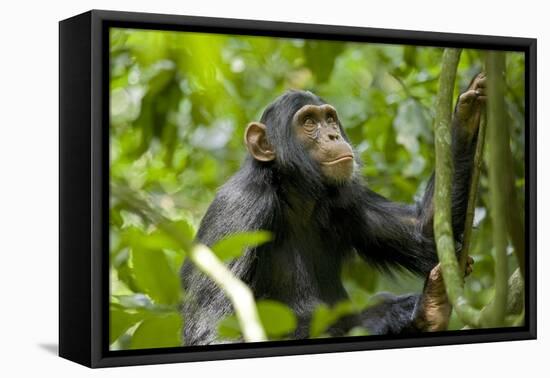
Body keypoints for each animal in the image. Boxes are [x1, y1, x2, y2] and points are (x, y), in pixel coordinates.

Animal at [181, 72, 488, 344]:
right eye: (308, 122)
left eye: (328, 118)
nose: (332, 135)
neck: (293, 193)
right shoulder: (240, 209)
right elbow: (214, 329)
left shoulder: (347, 198)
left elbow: (423, 232)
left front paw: (467, 111)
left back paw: (429, 309)